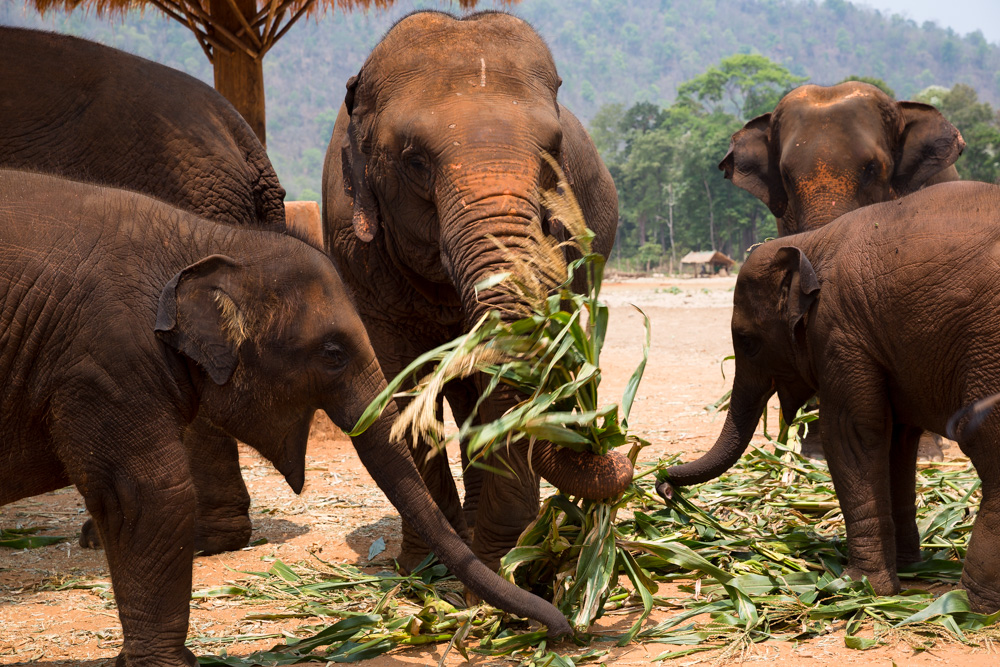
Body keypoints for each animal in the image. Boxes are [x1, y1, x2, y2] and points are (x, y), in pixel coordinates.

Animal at [0, 169, 573, 666]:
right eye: (334, 353)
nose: (562, 627)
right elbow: (150, 495)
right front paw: (170, 666)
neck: (206, 241)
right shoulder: (106, 364)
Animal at [322, 10, 631, 572]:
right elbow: (403, 376)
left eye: (553, 154)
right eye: (414, 161)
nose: (610, 445)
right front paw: (425, 569)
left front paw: (501, 567)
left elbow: (497, 374)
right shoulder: (355, 251)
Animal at [660, 180, 1000, 612]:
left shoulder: (839, 330)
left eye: (748, 342)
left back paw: (974, 604)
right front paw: (907, 570)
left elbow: (851, 433)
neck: (810, 242)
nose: (663, 484)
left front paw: (860, 586)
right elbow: (897, 439)